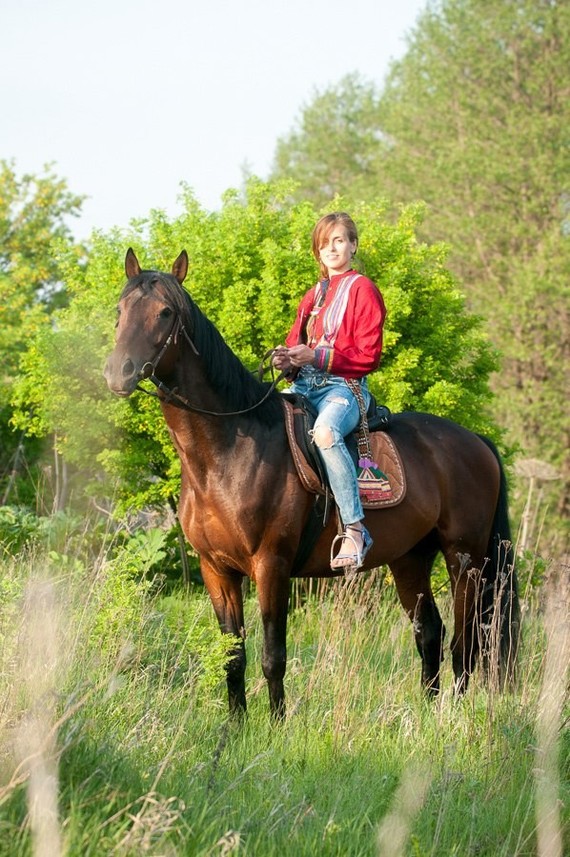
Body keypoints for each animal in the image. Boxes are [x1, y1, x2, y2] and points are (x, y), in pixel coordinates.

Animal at [104, 251, 516, 720]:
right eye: (120, 310)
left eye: (165, 312)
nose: (118, 373)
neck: (227, 453)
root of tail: (476, 441)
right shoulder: (216, 570)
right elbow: (233, 656)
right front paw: (236, 726)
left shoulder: (272, 565)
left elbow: (273, 655)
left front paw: (277, 725)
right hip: (410, 558)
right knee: (429, 631)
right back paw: (427, 712)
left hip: (465, 558)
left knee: (467, 643)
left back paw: (451, 717)